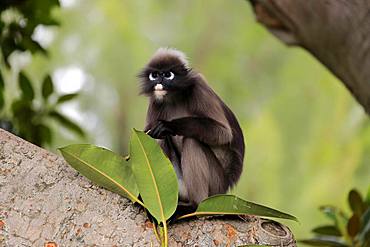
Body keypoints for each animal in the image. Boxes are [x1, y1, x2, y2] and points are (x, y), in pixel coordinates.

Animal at [139, 47, 246, 206]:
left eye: (168, 75)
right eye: (155, 75)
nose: (159, 82)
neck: (174, 98)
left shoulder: (199, 87)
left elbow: (223, 133)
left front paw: (168, 125)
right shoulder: (155, 99)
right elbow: (147, 132)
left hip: (216, 185)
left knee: (192, 140)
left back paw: (196, 204)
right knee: (157, 138)